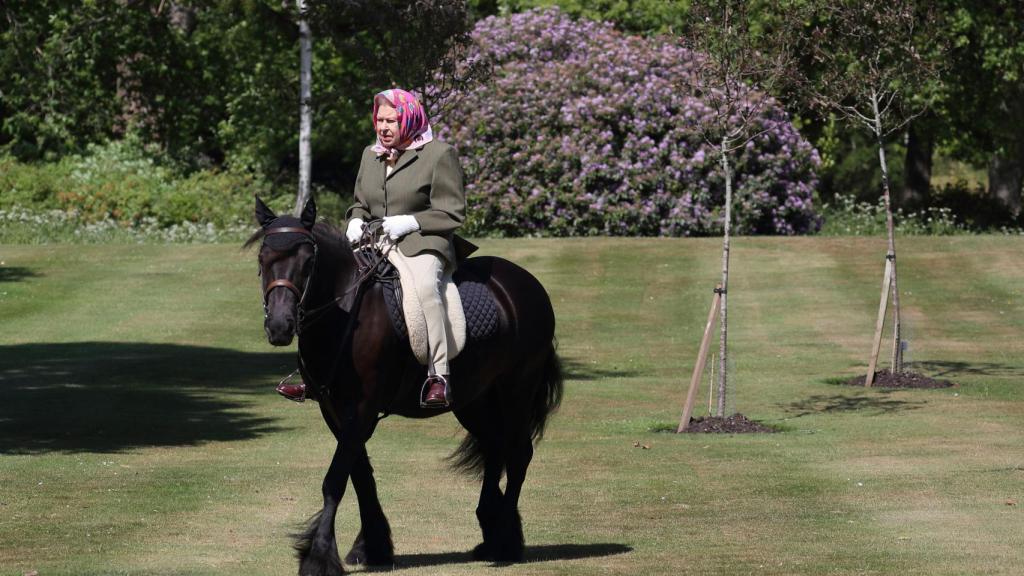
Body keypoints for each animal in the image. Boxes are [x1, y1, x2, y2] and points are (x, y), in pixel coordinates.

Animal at [250, 194, 565, 569]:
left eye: (308, 260)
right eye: (263, 259)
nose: (280, 326)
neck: (346, 310)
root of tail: (526, 283)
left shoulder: (362, 408)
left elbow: (336, 479)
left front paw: (319, 556)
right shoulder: (334, 410)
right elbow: (360, 475)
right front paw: (371, 546)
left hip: (516, 388)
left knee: (517, 454)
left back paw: (505, 542)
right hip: (474, 399)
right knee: (494, 447)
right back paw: (492, 534)